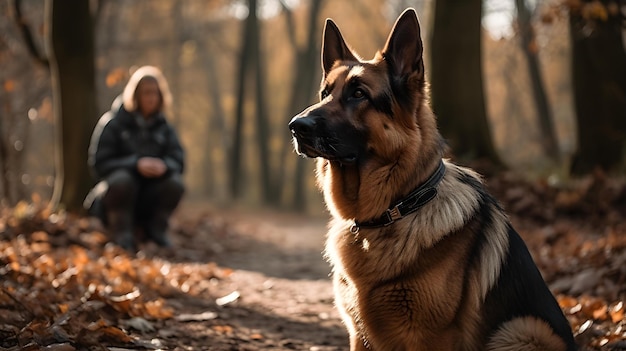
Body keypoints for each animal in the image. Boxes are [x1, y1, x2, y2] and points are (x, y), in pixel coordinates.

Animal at [288, 8, 576, 351]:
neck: (396, 209)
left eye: (358, 94)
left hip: (521, 329)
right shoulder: (358, 335)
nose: (296, 126)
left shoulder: (435, 337)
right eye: (325, 93)